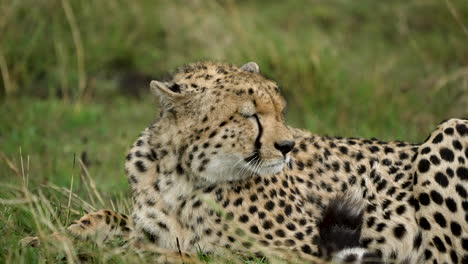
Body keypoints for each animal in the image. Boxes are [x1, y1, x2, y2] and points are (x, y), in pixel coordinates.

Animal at [23, 61, 466, 262]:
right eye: (249, 115)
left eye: (281, 110)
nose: (287, 146)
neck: (181, 176)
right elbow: (108, 217)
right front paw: (47, 238)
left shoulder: (300, 254)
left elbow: (193, 255)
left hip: (450, 129)